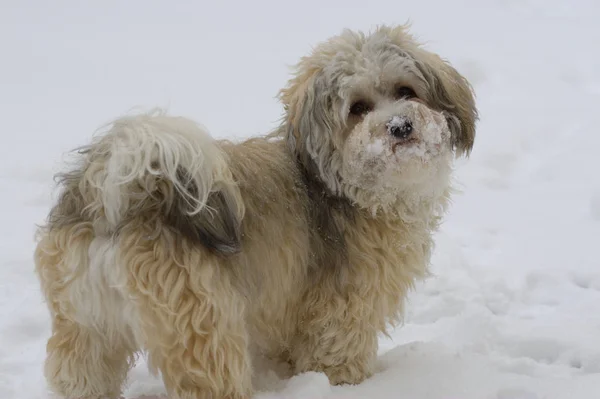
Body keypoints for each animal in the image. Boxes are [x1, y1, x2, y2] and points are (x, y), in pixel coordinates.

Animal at [34, 25, 478, 399]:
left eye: (407, 91)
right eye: (358, 108)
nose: (400, 126)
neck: (346, 186)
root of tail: (121, 196)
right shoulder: (342, 309)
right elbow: (335, 354)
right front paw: (347, 385)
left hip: (85, 328)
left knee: (79, 372)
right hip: (201, 324)